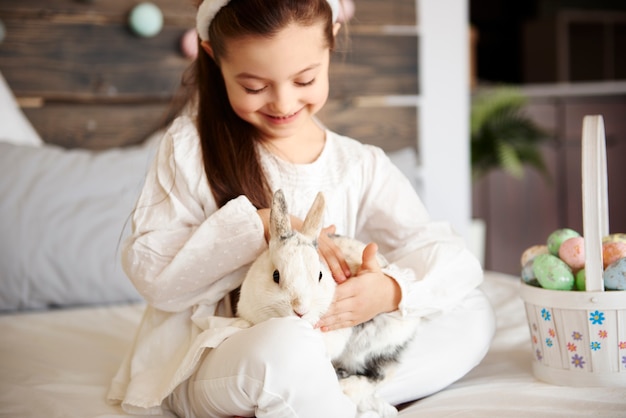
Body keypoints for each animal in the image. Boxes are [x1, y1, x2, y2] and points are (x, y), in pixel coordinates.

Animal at [236, 190, 422, 418]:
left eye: (320, 275)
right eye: (276, 275)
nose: (301, 310)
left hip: (370, 345)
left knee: (382, 373)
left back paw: (347, 389)